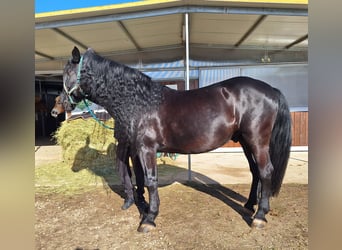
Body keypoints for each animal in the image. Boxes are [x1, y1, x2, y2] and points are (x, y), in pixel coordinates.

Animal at [60, 47, 292, 232]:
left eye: (67, 73)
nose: (62, 105)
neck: (140, 102)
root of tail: (271, 90)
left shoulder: (147, 149)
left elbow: (150, 180)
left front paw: (149, 219)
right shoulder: (137, 149)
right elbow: (141, 179)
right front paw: (144, 209)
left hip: (257, 141)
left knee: (265, 171)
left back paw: (260, 216)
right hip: (245, 141)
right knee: (255, 171)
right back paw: (250, 205)